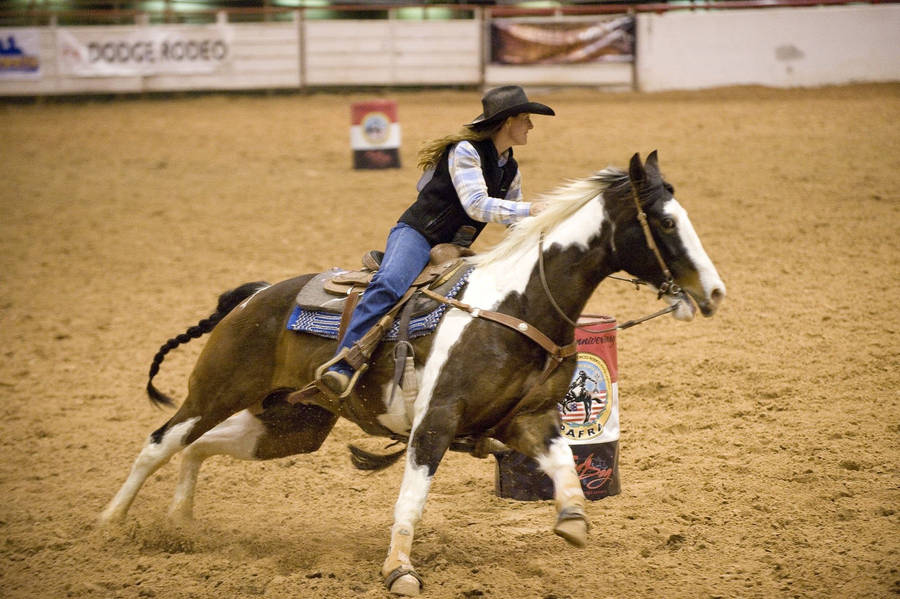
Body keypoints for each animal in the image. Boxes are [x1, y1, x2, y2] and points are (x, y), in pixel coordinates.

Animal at [99, 152, 725, 596]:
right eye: (665, 222)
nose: (714, 292)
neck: (518, 303)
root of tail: (253, 296)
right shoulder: (435, 422)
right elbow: (411, 500)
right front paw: (399, 570)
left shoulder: (529, 418)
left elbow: (564, 464)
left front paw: (572, 519)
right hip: (216, 389)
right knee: (160, 442)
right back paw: (107, 526)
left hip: (288, 425)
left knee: (197, 447)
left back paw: (179, 523)